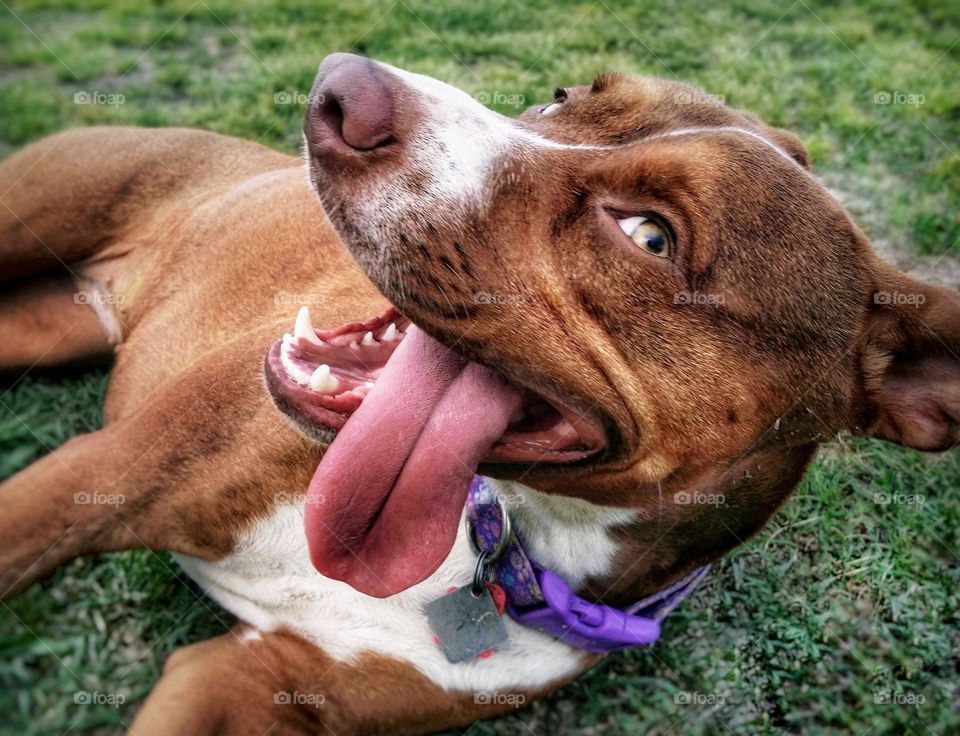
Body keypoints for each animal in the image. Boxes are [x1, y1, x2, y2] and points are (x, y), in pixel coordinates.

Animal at [0, 54, 956, 732]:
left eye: (650, 235)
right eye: (560, 94)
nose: (340, 88)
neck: (497, 532)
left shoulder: (250, 681)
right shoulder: (97, 478)